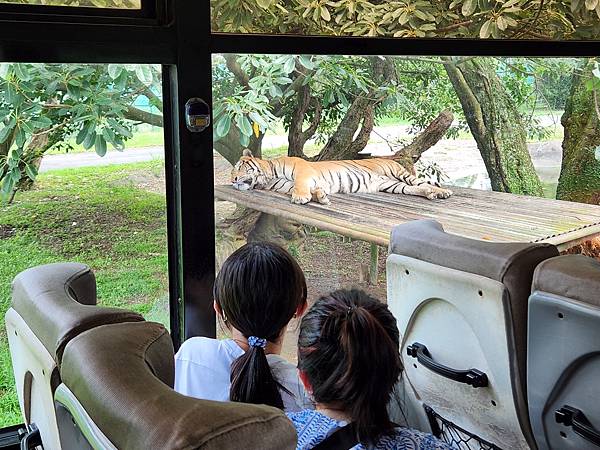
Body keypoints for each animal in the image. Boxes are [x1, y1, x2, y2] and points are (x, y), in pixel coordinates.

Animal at [232, 149, 452, 206]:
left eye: (239, 167)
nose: (233, 180)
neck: (268, 179)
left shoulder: (302, 171)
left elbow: (300, 185)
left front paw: (301, 197)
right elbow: (312, 190)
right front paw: (320, 196)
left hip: (398, 174)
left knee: (421, 182)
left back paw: (444, 192)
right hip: (392, 186)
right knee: (418, 188)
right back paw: (432, 194)